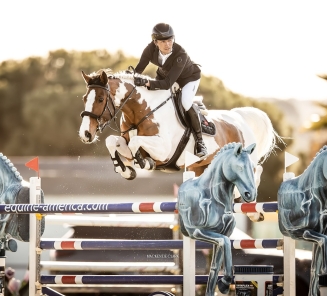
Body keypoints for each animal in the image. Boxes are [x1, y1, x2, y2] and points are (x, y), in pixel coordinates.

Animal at [79, 70, 282, 187]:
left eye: (100, 99)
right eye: (84, 98)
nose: (85, 134)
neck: (141, 111)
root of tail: (239, 118)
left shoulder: (163, 151)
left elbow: (137, 143)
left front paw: (143, 163)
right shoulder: (126, 142)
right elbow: (112, 141)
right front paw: (125, 170)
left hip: (246, 159)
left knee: (256, 171)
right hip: (201, 167)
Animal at [178, 142, 258, 294]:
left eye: (252, 167)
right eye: (239, 167)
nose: (250, 194)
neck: (215, 197)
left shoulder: (221, 234)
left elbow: (214, 269)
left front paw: (223, 284)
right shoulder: (197, 232)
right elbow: (225, 242)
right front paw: (224, 283)